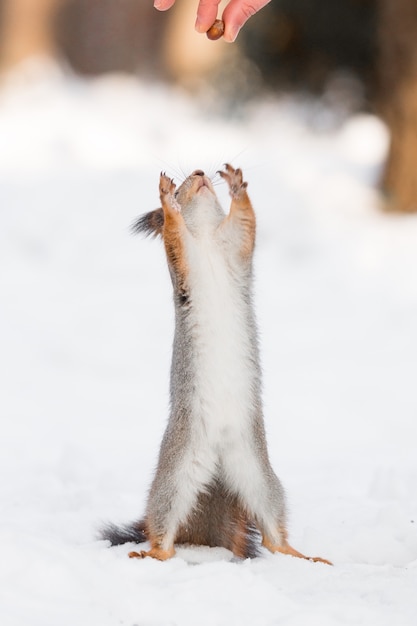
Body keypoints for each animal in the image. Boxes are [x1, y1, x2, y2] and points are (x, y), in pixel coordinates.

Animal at [99, 163, 330, 564]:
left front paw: (236, 184)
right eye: (185, 186)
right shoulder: (183, 258)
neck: (206, 236)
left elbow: (246, 222)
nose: (199, 173)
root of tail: (219, 468)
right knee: (163, 530)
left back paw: (303, 556)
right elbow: (175, 232)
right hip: (174, 479)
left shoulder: (235, 247)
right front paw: (167, 198)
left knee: (273, 534)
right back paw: (153, 554)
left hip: (261, 479)